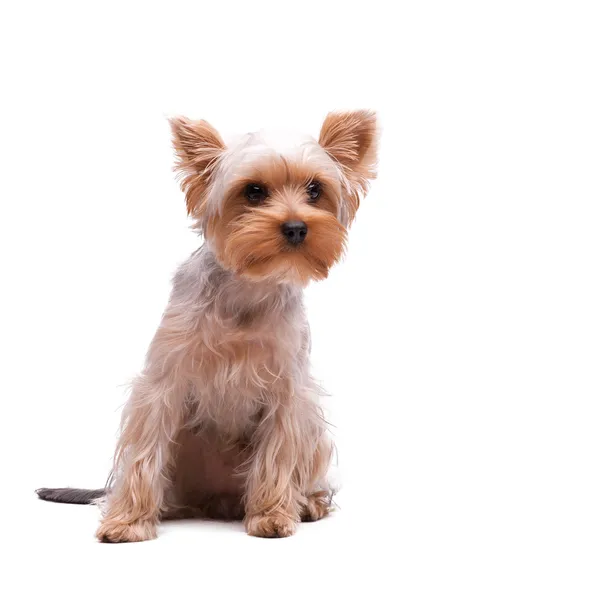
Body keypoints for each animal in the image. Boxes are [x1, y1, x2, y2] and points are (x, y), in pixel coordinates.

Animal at [37, 110, 378, 540]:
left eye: (315, 190)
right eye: (253, 192)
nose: (297, 227)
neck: (248, 287)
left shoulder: (288, 391)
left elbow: (278, 453)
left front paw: (272, 515)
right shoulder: (162, 383)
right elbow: (144, 451)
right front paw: (128, 521)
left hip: (313, 432)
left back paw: (308, 502)